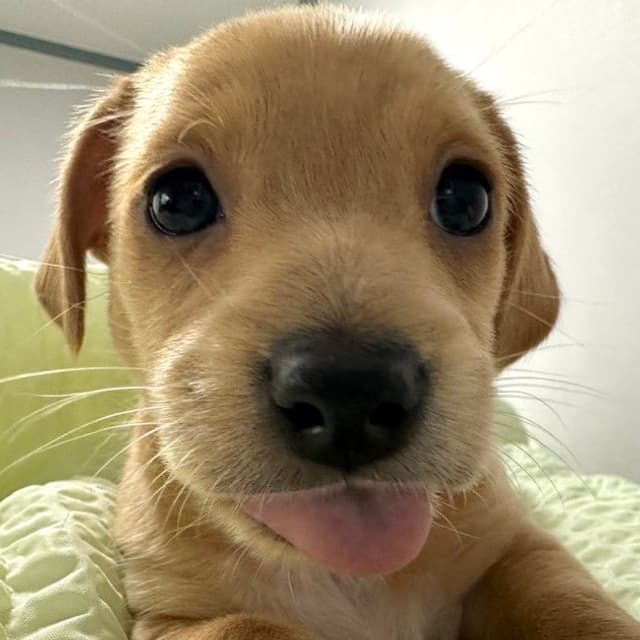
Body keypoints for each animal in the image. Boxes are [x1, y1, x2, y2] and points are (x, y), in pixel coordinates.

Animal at [34, 5, 640, 639]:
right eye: (178, 201)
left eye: (465, 200)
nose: (350, 391)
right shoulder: (170, 616)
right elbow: (246, 626)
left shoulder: (519, 548)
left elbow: (571, 601)